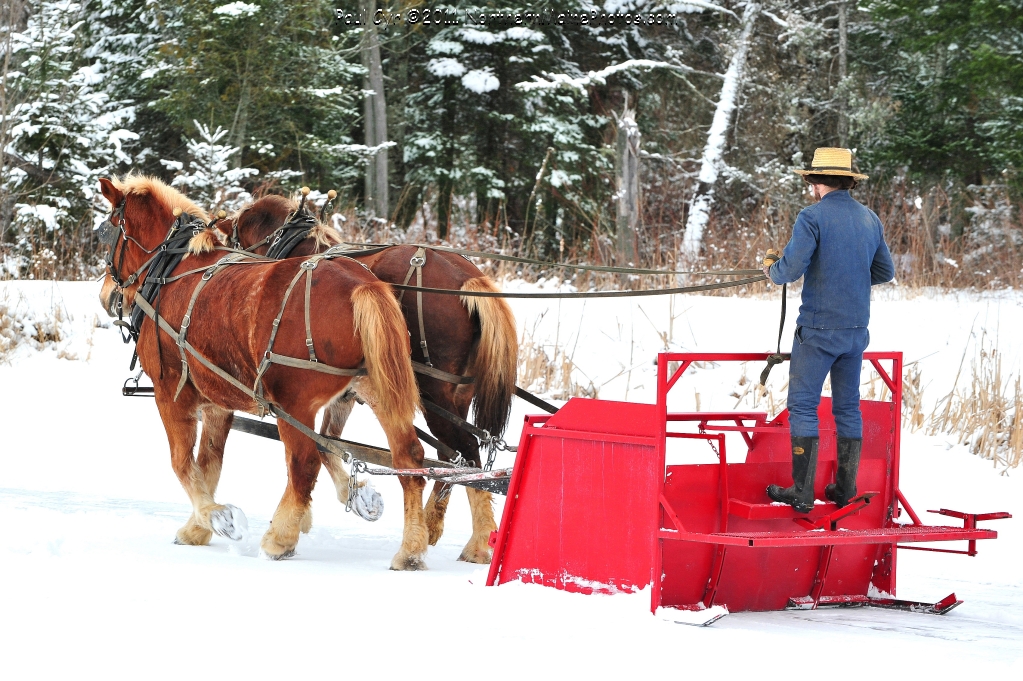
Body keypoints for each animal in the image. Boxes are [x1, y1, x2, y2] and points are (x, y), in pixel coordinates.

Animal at [96, 174, 431, 568]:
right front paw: (198, 528)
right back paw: (410, 549)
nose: (106, 296)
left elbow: (181, 462)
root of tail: (361, 284)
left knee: (304, 463)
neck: (171, 271)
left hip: (293, 404)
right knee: (409, 459)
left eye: (106, 231)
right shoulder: (217, 402)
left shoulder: (170, 393)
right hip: (376, 390)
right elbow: (209, 464)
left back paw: (280, 538)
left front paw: (218, 517)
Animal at [215, 192, 519, 560]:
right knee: (455, 458)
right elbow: (327, 444)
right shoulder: (346, 391)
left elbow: (318, 448)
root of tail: (468, 280)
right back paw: (434, 526)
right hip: (457, 395)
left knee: (467, 454)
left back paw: (474, 542)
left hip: (434, 394)